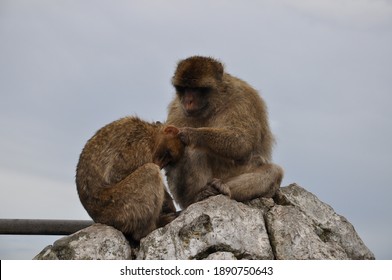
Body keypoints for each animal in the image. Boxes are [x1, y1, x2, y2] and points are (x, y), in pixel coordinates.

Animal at [164, 55, 284, 209]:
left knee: (274, 171)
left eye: (196, 89)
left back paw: (221, 187)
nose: (188, 101)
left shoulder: (242, 99)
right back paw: (198, 196)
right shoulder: (177, 107)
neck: (215, 102)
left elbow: (242, 142)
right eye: (184, 89)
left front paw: (191, 134)